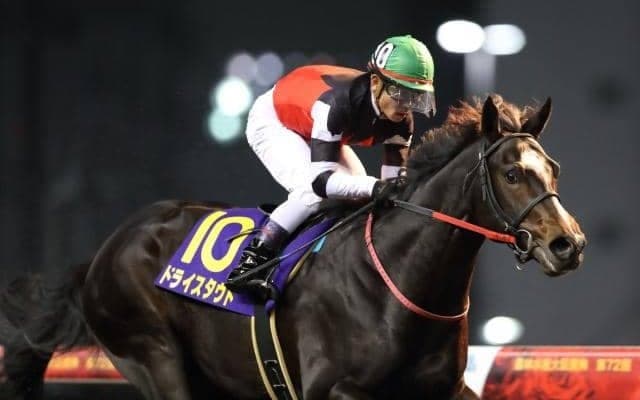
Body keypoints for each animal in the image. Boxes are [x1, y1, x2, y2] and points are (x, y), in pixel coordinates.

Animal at [1, 95, 586, 400]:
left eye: (553, 168)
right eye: (512, 173)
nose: (569, 244)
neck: (399, 283)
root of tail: (101, 254)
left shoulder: (446, 391)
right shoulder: (336, 390)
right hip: (154, 356)